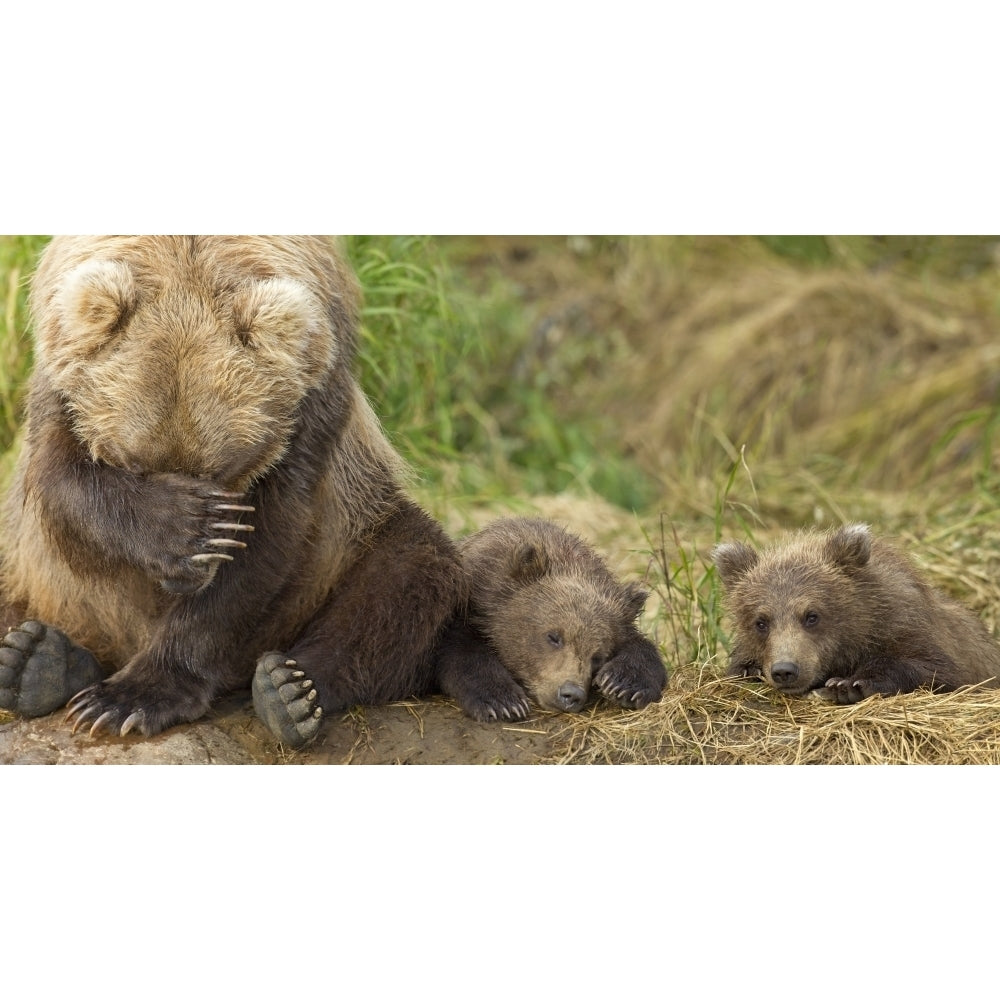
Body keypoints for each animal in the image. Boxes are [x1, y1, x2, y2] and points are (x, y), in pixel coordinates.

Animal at [0, 236, 468, 752]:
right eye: (135, 464)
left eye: (223, 469)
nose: (181, 581)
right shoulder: (61, 378)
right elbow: (62, 483)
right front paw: (187, 529)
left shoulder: (312, 398)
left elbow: (268, 540)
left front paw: (130, 698)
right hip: (31, 576)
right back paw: (34, 661)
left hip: (353, 538)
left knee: (408, 572)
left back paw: (288, 691)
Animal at [434, 516, 668, 720]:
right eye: (554, 637)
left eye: (598, 657)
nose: (571, 694)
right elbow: (461, 651)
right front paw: (503, 702)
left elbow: (642, 648)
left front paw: (624, 685)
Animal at [716, 524, 1000, 704]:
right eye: (761, 621)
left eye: (812, 615)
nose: (785, 670)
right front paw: (750, 669)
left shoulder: (913, 628)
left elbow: (935, 669)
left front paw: (847, 685)